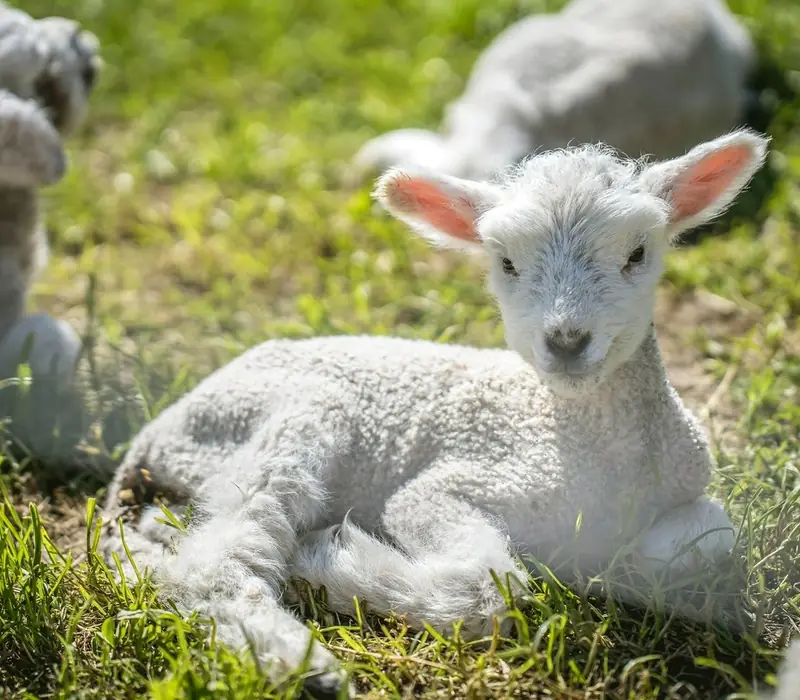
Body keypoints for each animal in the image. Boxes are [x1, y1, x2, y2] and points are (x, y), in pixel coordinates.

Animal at [99, 128, 768, 698]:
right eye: (505, 263)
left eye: (637, 252)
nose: (566, 342)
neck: (579, 440)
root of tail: (151, 437)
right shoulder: (448, 487)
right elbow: (489, 589)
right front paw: (335, 563)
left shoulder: (688, 491)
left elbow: (708, 541)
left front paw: (614, 568)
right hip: (284, 422)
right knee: (217, 563)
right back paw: (303, 663)